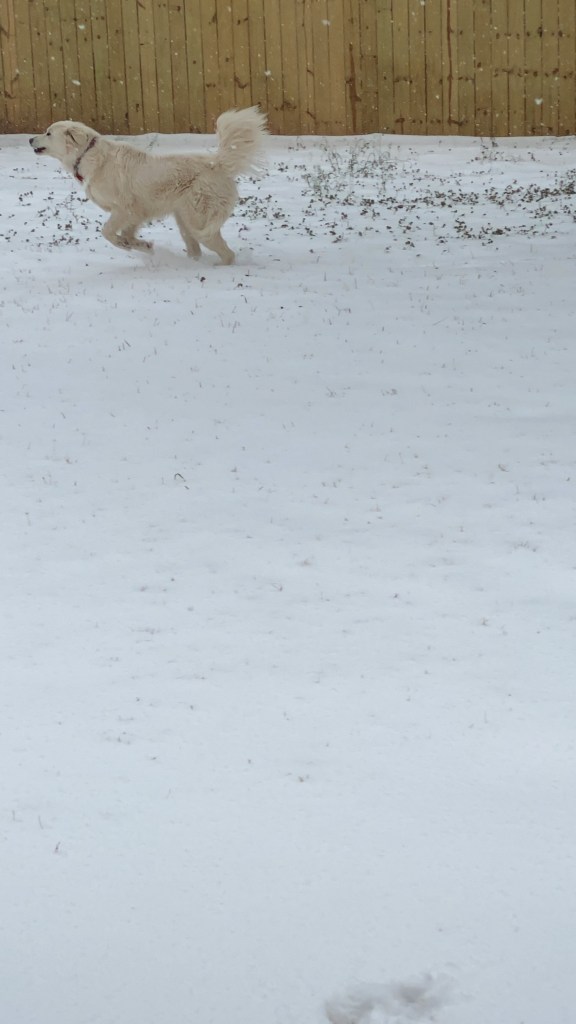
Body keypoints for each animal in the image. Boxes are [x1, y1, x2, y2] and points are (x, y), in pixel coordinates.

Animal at [30, 107, 267, 263]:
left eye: (48, 133)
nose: (31, 139)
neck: (87, 156)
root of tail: (217, 163)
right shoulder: (137, 212)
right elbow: (128, 235)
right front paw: (143, 246)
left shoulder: (123, 210)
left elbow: (107, 232)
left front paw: (127, 245)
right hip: (184, 221)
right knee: (196, 250)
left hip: (198, 223)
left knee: (226, 252)